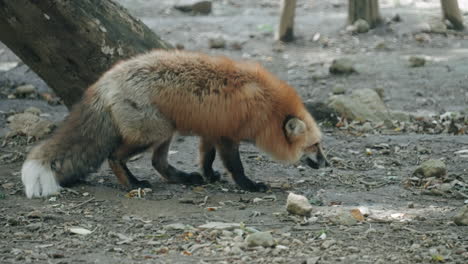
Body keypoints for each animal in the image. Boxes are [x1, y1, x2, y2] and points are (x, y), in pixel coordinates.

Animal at [22, 49, 328, 198]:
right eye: (314, 146)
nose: (328, 164)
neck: (267, 107)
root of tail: (104, 80)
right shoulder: (228, 136)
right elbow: (236, 167)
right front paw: (249, 186)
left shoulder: (211, 131)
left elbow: (206, 159)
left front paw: (208, 176)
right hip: (156, 130)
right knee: (114, 156)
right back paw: (132, 184)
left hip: (165, 132)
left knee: (158, 163)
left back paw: (184, 179)